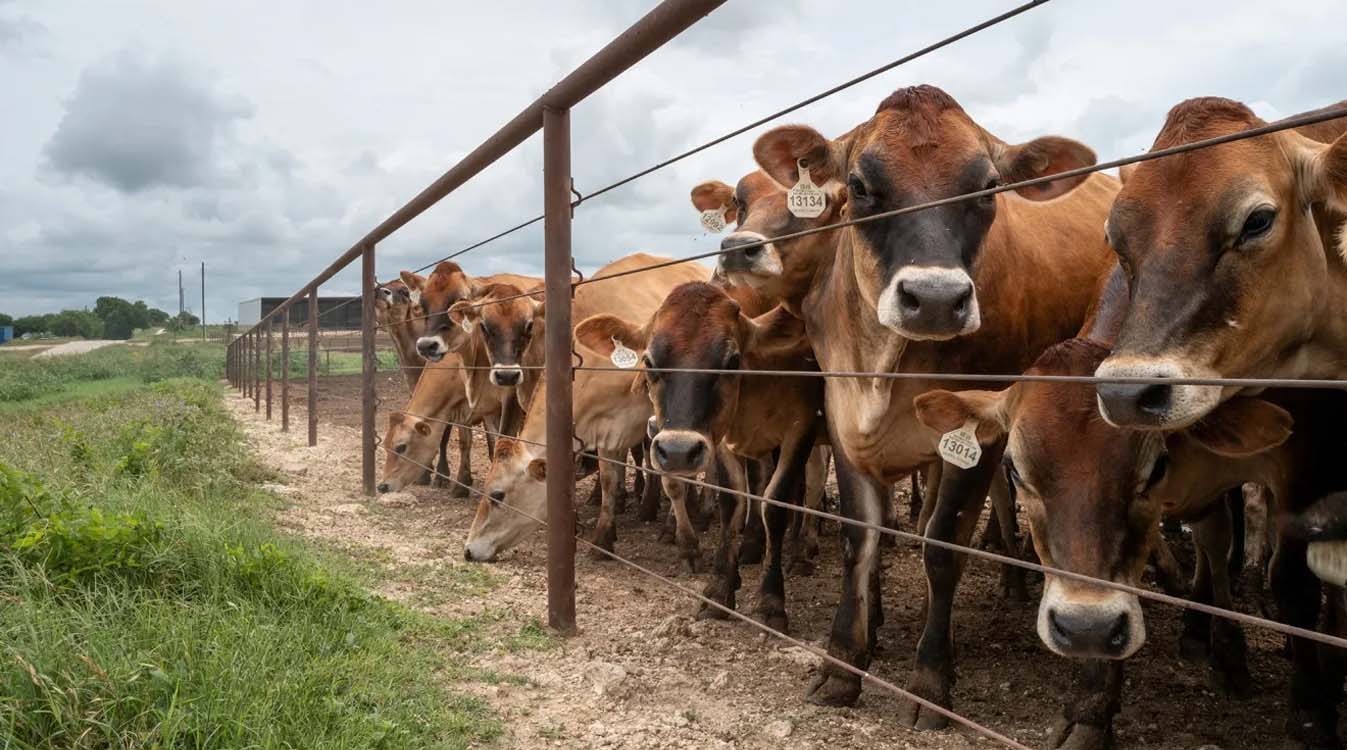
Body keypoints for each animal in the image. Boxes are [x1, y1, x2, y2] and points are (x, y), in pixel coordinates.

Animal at [462, 253, 709, 562]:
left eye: (498, 495)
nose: (469, 549)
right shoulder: (606, 426)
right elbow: (608, 479)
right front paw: (603, 536)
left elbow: (672, 478)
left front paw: (686, 542)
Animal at [748, 85, 1118, 720]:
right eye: (860, 186)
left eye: (988, 186)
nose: (937, 299)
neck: (884, 367)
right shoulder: (842, 421)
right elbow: (859, 539)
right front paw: (844, 664)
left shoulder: (982, 434)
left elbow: (944, 546)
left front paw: (930, 677)